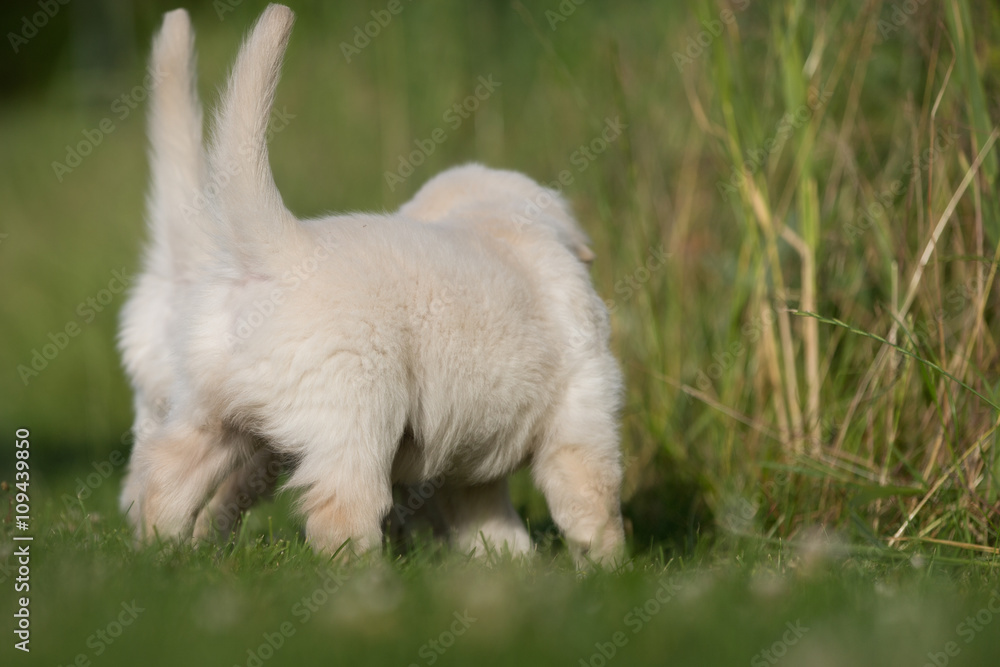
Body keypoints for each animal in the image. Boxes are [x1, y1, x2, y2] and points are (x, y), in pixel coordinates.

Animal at [124, 3, 620, 564]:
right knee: (340, 510)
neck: (492, 219)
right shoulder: (584, 408)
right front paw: (608, 567)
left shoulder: (465, 458)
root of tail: (280, 250)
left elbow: (484, 515)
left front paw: (509, 564)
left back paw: (160, 552)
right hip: (353, 418)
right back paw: (364, 572)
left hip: (210, 411)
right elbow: (590, 496)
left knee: (166, 476)